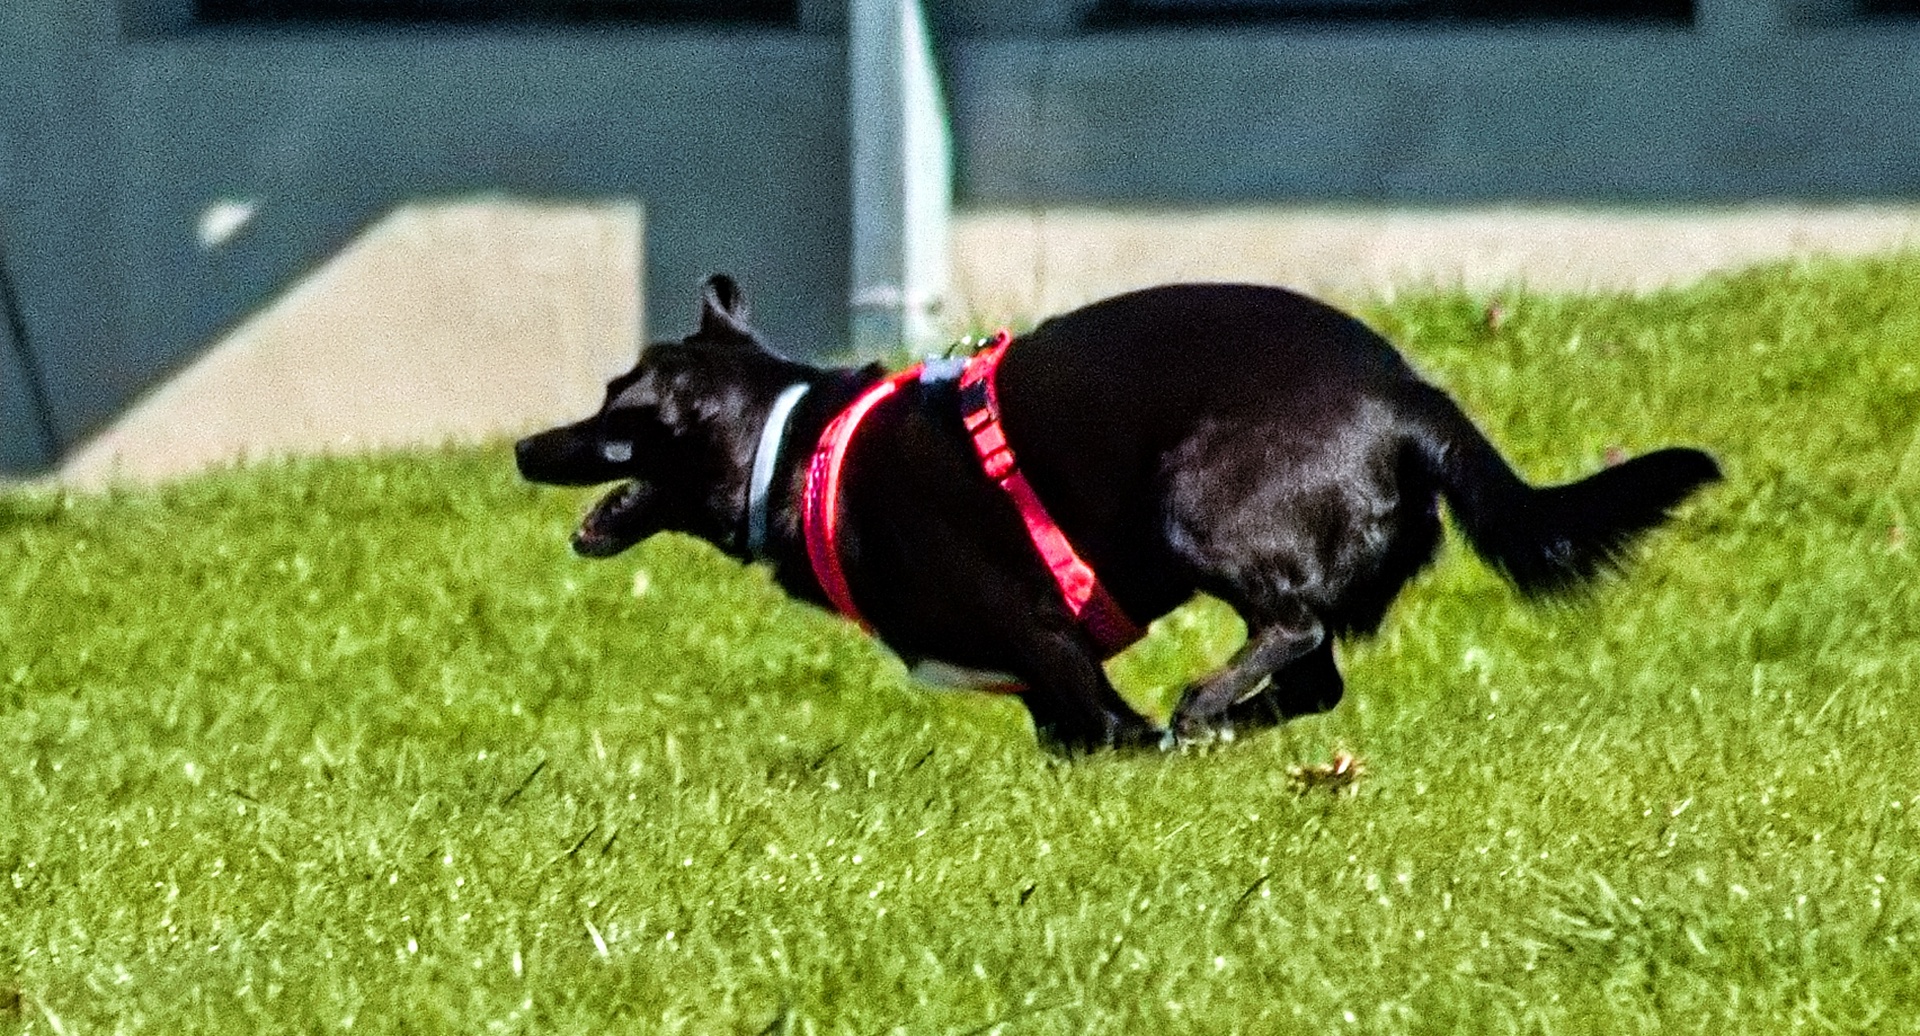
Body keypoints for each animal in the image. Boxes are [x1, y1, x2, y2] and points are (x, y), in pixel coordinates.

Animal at [516, 275, 1719, 753]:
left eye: (612, 408)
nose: (525, 448)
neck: (799, 447)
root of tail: (1408, 394)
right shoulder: (1043, 684)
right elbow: (1072, 739)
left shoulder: (1044, 636)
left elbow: (1104, 724)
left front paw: (1145, 742)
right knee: (1313, 676)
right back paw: (1222, 726)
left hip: (1198, 497)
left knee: (1294, 630)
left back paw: (1200, 709)